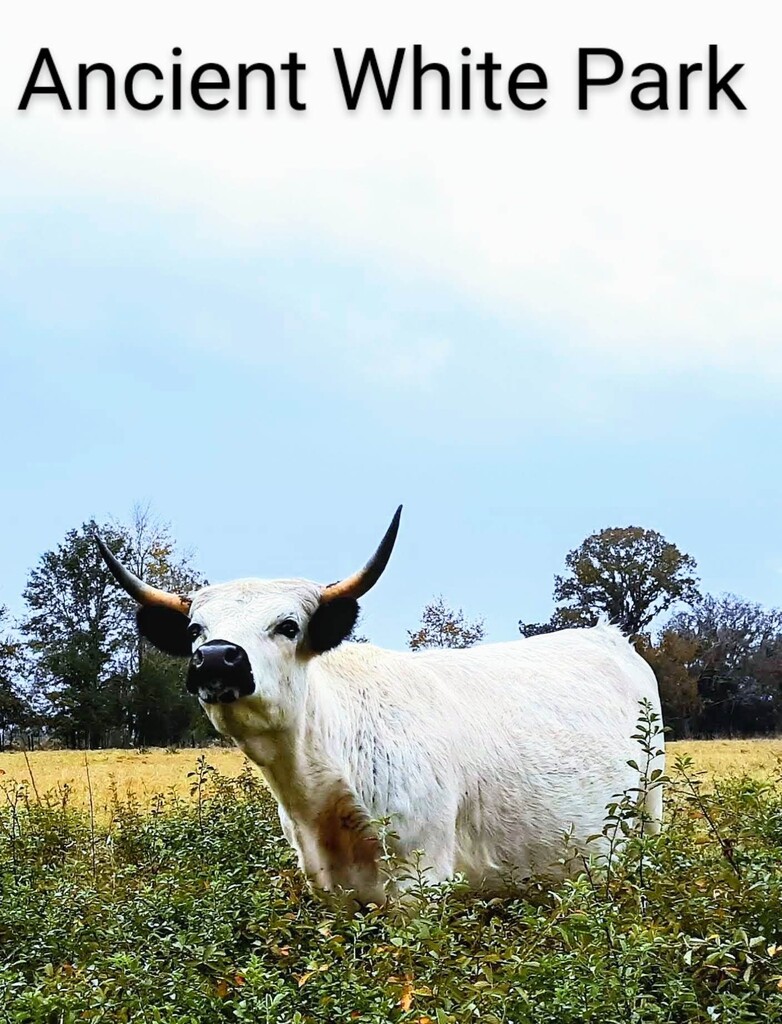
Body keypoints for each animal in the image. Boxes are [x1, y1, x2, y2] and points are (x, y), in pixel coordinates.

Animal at [96, 507, 664, 906]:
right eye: (196, 629)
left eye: (288, 626)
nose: (217, 659)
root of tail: (609, 635)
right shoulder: (333, 892)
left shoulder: (422, 882)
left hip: (650, 814)